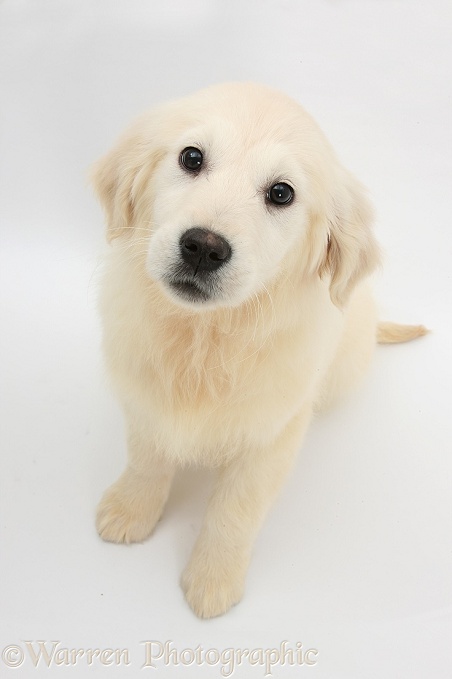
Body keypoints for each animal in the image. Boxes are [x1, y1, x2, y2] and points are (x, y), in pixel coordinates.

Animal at [91, 82, 424, 620]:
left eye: (281, 193)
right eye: (191, 157)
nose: (203, 247)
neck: (205, 335)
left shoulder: (271, 435)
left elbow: (235, 511)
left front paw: (213, 579)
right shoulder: (145, 397)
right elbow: (146, 459)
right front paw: (132, 509)